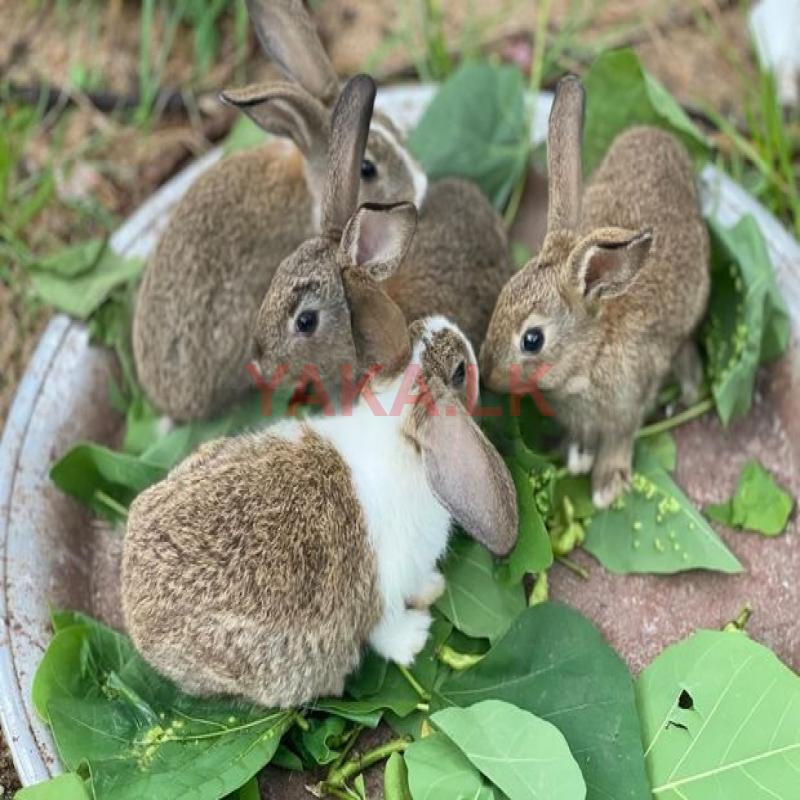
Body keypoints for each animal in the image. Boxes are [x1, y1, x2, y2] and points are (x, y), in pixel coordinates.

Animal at [121, 312, 519, 709]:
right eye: (459, 372)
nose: (446, 323)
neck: (398, 433)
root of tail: (134, 611)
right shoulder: (383, 592)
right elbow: (387, 634)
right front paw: (417, 636)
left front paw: (432, 589)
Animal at [479, 75, 710, 509]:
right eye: (501, 296)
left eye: (532, 340)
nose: (487, 376)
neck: (590, 354)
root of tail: (660, 137)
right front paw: (578, 456)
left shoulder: (629, 399)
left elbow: (620, 437)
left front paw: (606, 484)